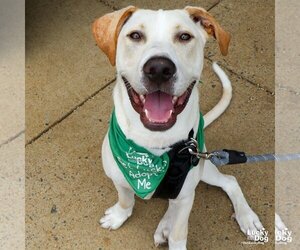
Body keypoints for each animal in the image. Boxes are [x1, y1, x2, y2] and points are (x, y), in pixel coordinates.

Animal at [92, 6, 264, 250]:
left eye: (184, 36)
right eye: (135, 35)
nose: (158, 69)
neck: (152, 149)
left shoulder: (186, 197)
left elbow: (178, 233)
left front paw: (171, 234)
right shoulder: (120, 179)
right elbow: (125, 199)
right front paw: (118, 216)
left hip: (203, 169)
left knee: (229, 182)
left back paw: (246, 217)